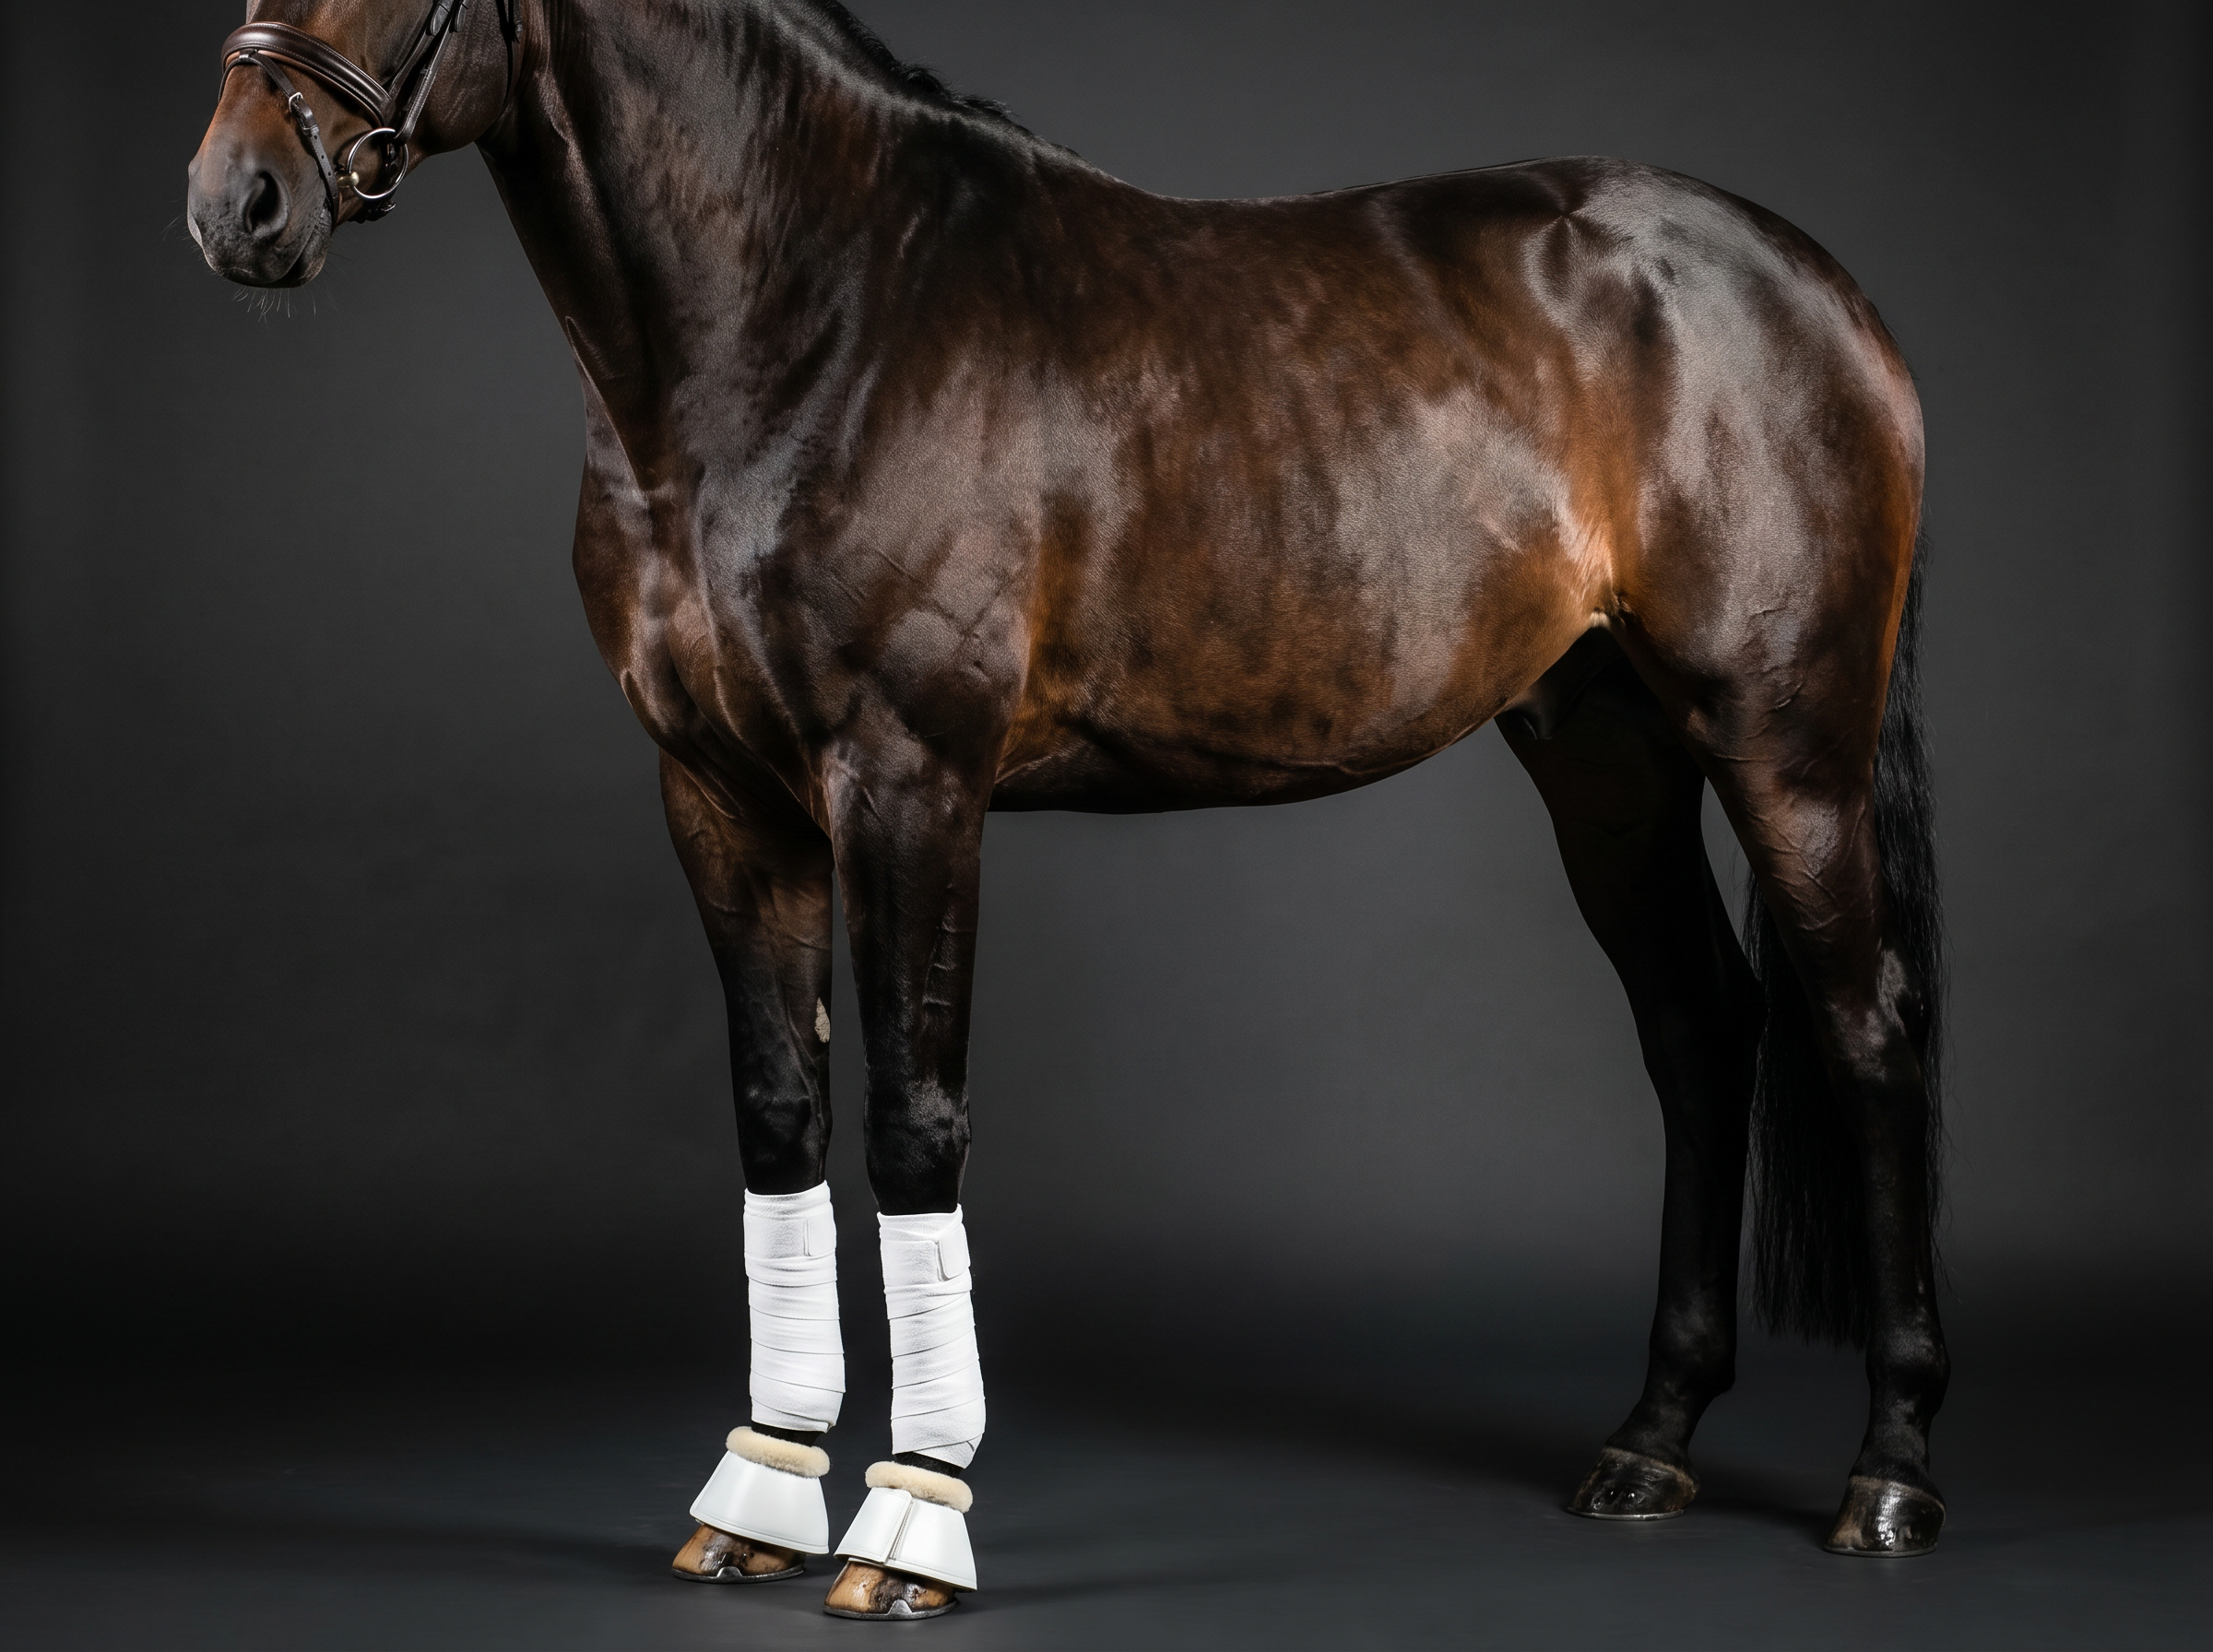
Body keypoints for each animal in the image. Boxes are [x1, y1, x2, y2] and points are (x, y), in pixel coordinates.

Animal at [187, 0, 1950, 1617]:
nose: (236, 202)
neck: (810, 318)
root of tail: (1819, 287)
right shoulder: (719, 796)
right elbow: (778, 1119)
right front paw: (761, 1493)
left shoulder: (910, 781)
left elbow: (914, 1129)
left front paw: (909, 1524)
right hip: (1607, 752)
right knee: (1703, 1032)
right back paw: (1649, 1445)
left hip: (1784, 740)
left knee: (1865, 1034)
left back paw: (1889, 1476)